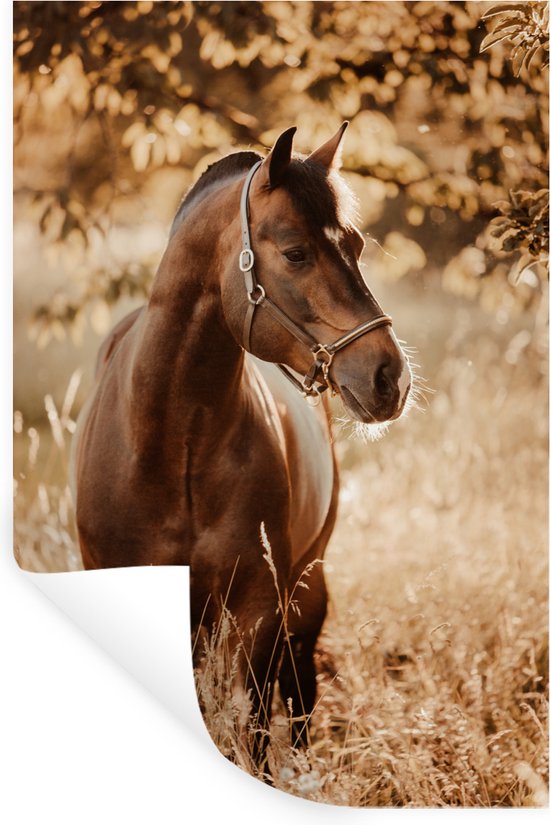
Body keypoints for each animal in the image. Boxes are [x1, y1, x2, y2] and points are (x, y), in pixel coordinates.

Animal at [70, 122, 412, 774]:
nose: (391, 378)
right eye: (297, 252)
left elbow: (253, 733)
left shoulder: (257, 612)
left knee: (297, 694)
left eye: (356, 245)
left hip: (304, 592)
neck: (171, 447)